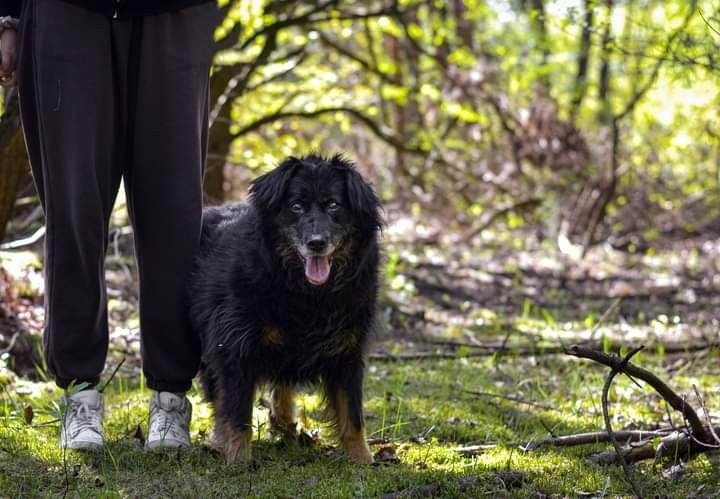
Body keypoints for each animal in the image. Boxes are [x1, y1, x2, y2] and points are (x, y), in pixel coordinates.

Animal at [190, 153, 382, 464]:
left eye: (334, 205)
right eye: (296, 206)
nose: (316, 243)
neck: (308, 292)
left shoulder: (348, 349)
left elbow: (352, 413)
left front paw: (361, 460)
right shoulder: (234, 344)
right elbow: (236, 411)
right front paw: (238, 459)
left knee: (282, 382)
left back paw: (284, 423)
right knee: (221, 393)